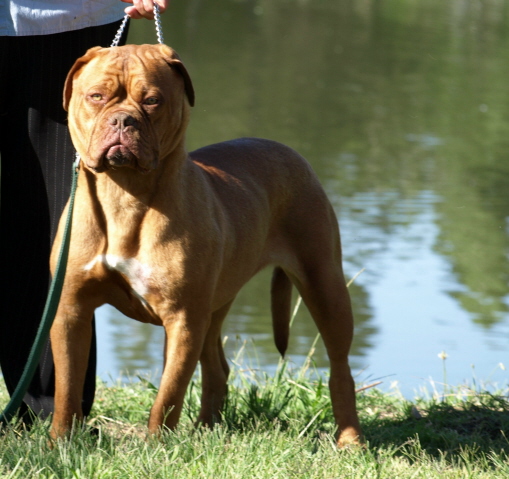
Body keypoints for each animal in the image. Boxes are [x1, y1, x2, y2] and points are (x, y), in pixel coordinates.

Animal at [48, 43, 362, 448]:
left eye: (152, 100)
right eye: (96, 97)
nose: (122, 121)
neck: (125, 193)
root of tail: (288, 151)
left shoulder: (183, 318)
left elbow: (168, 394)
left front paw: (156, 446)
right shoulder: (70, 309)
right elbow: (67, 386)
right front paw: (58, 443)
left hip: (324, 284)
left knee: (340, 367)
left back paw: (351, 439)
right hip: (217, 304)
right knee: (217, 367)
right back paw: (207, 427)